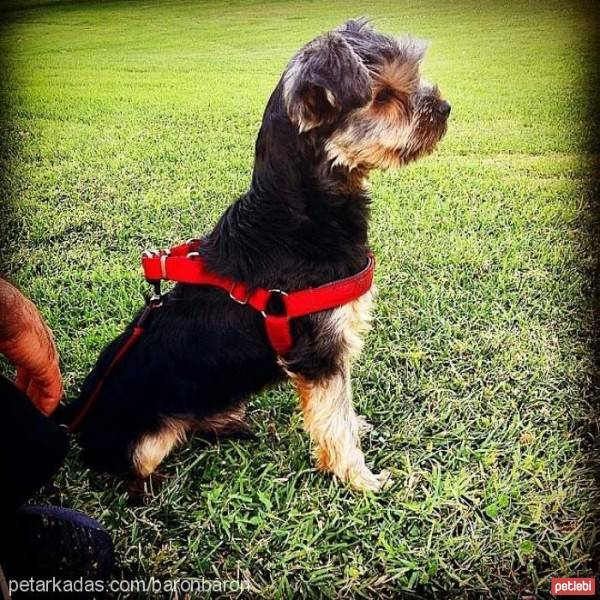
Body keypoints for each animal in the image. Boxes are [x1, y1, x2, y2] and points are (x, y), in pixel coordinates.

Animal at [62, 19, 450, 492]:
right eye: (383, 95)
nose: (446, 108)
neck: (299, 212)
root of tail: (74, 418)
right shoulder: (319, 351)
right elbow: (334, 418)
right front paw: (360, 479)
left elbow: (337, 411)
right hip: (146, 439)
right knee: (136, 464)